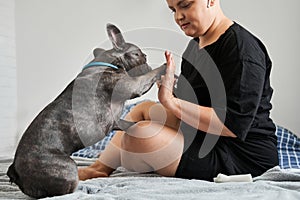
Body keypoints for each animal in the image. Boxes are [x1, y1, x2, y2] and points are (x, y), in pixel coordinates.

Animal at [6, 23, 166, 198]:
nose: (147, 60)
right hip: (66, 167)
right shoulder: (133, 85)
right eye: (139, 55)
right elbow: (148, 77)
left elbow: (130, 123)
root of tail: (15, 169)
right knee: (65, 191)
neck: (107, 63)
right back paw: (86, 189)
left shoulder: (116, 121)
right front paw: (164, 66)